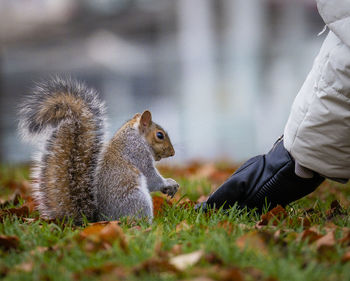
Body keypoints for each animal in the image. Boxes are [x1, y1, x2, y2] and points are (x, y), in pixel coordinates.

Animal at [17, 77, 179, 223]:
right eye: (160, 135)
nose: (173, 153)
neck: (135, 136)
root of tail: (98, 219)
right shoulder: (138, 154)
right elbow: (151, 177)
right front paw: (169, 183)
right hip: (137, 199)